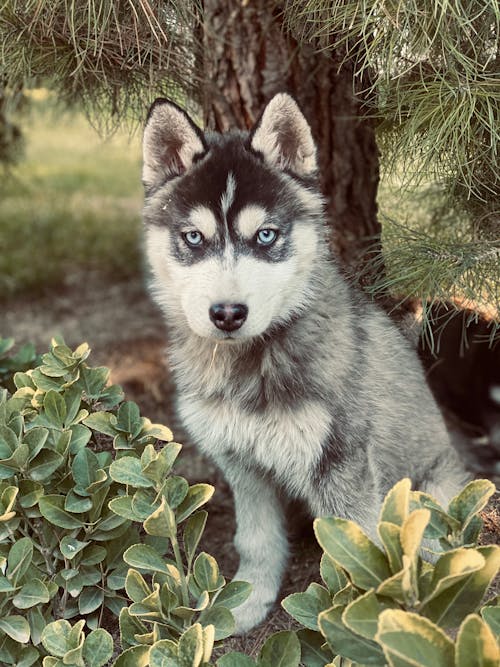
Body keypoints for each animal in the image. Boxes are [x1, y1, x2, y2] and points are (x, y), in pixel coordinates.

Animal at [141, 92, 468, 632]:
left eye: (266, 236)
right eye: (193, 238)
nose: (227, 314)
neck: (251, 366)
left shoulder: (343, 466)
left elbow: (362, 552)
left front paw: (368, 625)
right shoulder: (242, 464)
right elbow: (256, 540)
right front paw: (246, 602)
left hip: (430, 494)